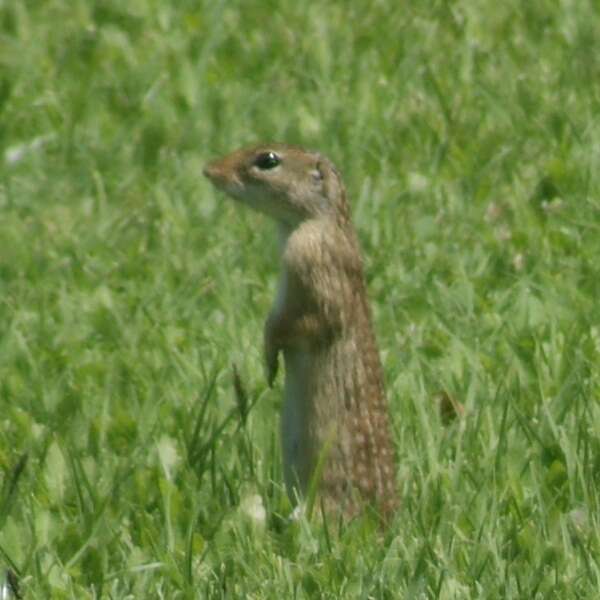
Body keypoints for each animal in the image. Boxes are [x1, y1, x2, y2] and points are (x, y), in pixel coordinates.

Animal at [204, 142, 396, 520]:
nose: (209, 169)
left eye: (268, 160)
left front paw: (269, 362)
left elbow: (293, 324)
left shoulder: (310, 263)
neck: (323, 222)